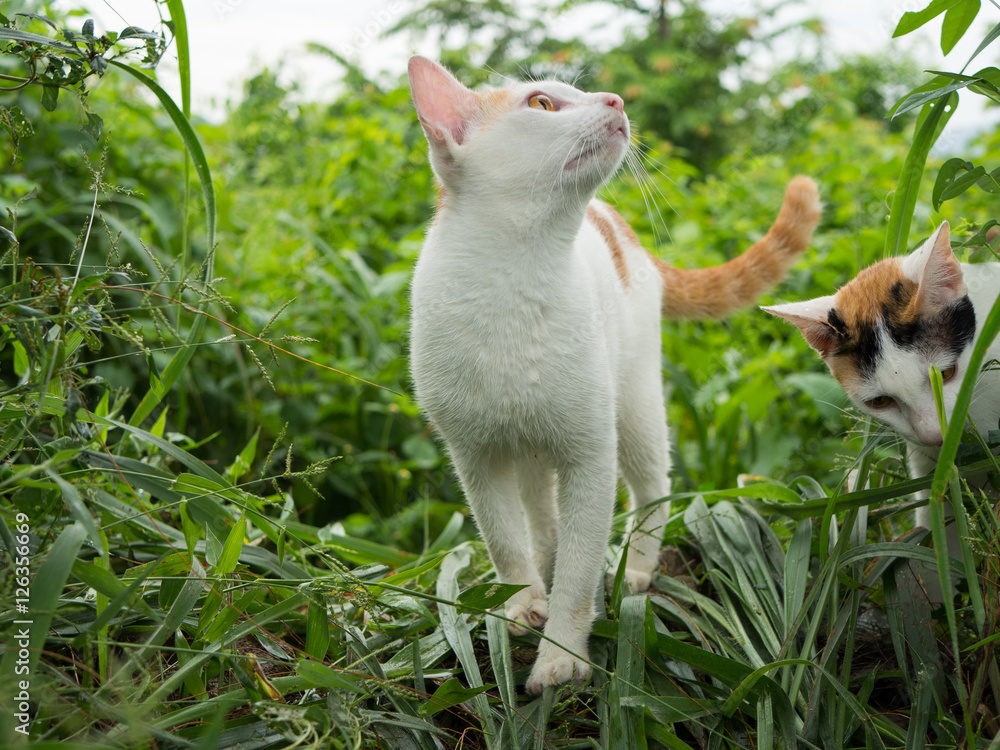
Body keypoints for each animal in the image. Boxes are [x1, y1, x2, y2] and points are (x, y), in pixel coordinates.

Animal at [406, 55, 820, 696]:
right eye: (543, 104)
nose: (617, 100)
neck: (515, 278)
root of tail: (629, 237)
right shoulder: (474, 456)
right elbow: (504, 541)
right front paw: (521, 603)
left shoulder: (590, 454)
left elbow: (579, 573)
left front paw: (560, 656)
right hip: (533, 446)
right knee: (540, 513)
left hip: (637, 406)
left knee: (652, 490)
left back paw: (640, 567)